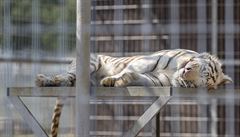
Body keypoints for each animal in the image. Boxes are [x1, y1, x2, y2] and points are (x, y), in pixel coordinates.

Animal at [35, 48, 232, 136]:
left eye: (194, 84)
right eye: (202, 70)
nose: (186, 72)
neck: (173, 73)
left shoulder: (155, 80)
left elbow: (135, 76)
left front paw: (118, 80)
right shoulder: (147, 61)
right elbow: (131, 67)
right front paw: (111, 79)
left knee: (71, 80)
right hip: (90, 61)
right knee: (66, 76)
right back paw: (45, 80)